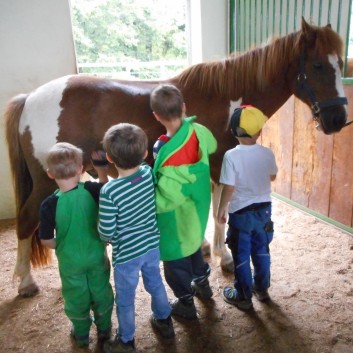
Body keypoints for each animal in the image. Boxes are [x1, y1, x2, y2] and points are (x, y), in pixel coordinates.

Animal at [4, 18, 348, 294]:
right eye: (317, 65)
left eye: (341, 64)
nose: (338, 120)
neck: (226, 98)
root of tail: (30, 98)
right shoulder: (219, 165)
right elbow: (218, 212)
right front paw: (223, 255)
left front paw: (208, 247)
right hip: (46, 182)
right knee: (26, 220)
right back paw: (25, 281)